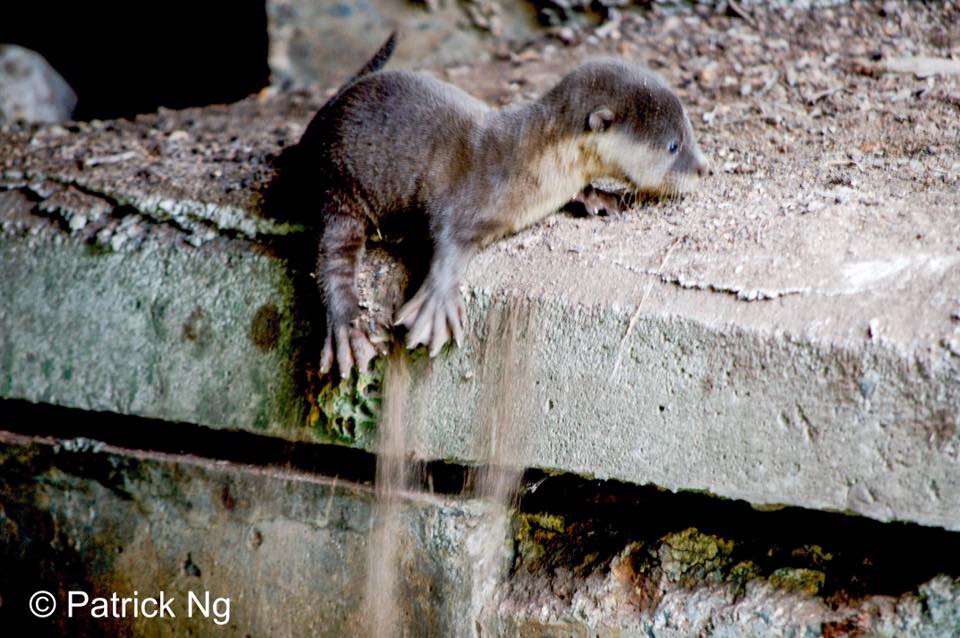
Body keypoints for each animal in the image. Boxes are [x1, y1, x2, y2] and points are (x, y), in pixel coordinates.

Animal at [284, 34, 707, 377]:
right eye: (673, 146)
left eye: (690, 132)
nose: (705, 168)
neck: (533, 163)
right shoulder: (468, 195)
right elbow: (446, 241)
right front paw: (437, 307)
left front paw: (599, 196)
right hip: (338, 187)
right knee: (331, 258)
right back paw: (347, 333)